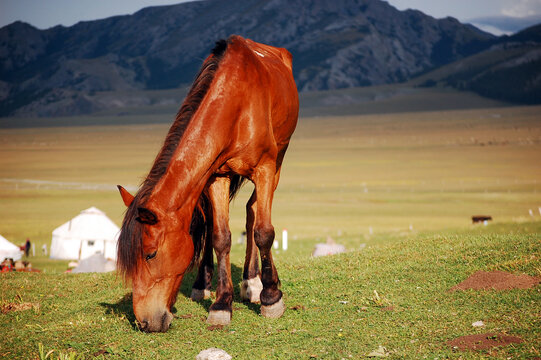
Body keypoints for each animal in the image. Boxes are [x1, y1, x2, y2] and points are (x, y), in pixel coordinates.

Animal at [116, 35, 300, 334]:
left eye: (150, 255)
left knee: (252, 211)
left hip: (278, 161)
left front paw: (271, 298)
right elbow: (219, 236)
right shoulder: (217, 176)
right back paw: (205, 283)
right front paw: (221, 305)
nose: (144, 322)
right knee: (212, 219)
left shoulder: (265, 168)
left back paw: (254, 282)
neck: (236, 104)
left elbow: (263, 232)